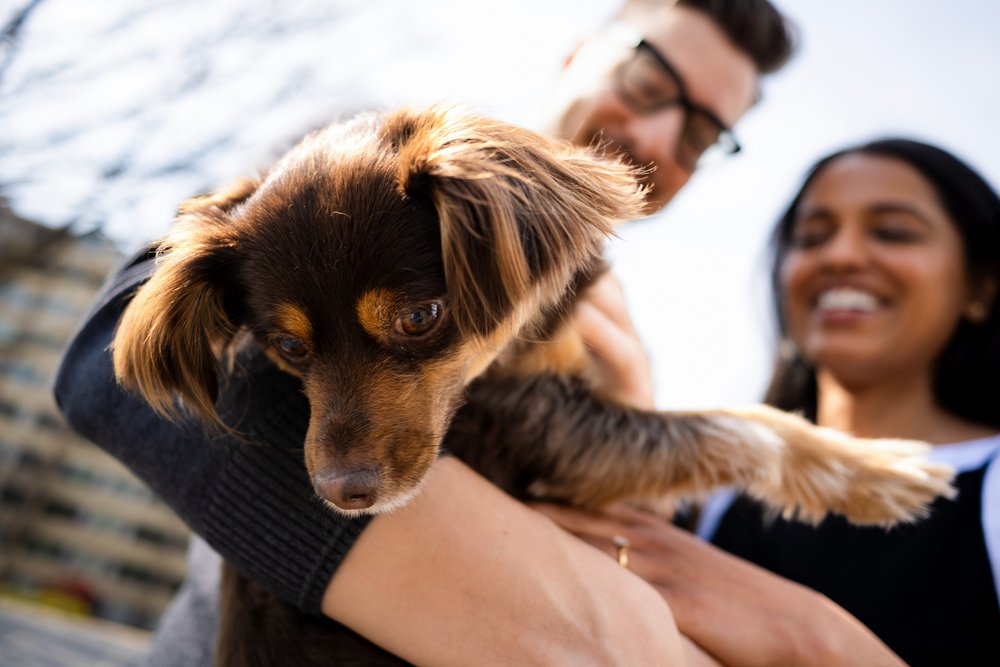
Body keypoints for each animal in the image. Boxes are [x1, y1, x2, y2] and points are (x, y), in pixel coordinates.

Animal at [109, 107, 952, 664]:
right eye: (287, 346)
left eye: (420, 317)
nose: (342, 493)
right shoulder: (551, 434)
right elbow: (741, 424)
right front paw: (878, 471)